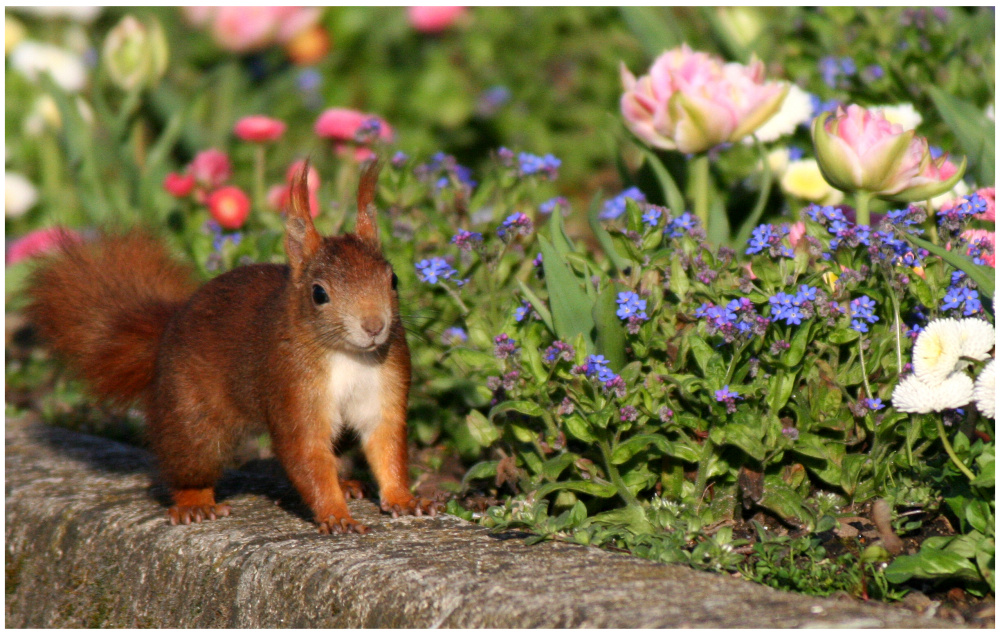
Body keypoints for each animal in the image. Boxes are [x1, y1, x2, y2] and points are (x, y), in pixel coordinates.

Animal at [22, 159, 438, 532]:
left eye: (394, 279)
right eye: (319, 294)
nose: (374, 326)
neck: (349, 356)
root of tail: (169, 328)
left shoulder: (385, 383)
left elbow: (386, 445)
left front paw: (404, 499)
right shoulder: (291, 386)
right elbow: (305, 454)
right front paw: (336, 515)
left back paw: (347, 483)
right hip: (192, 417)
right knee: (189, 463)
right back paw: (195, 503)